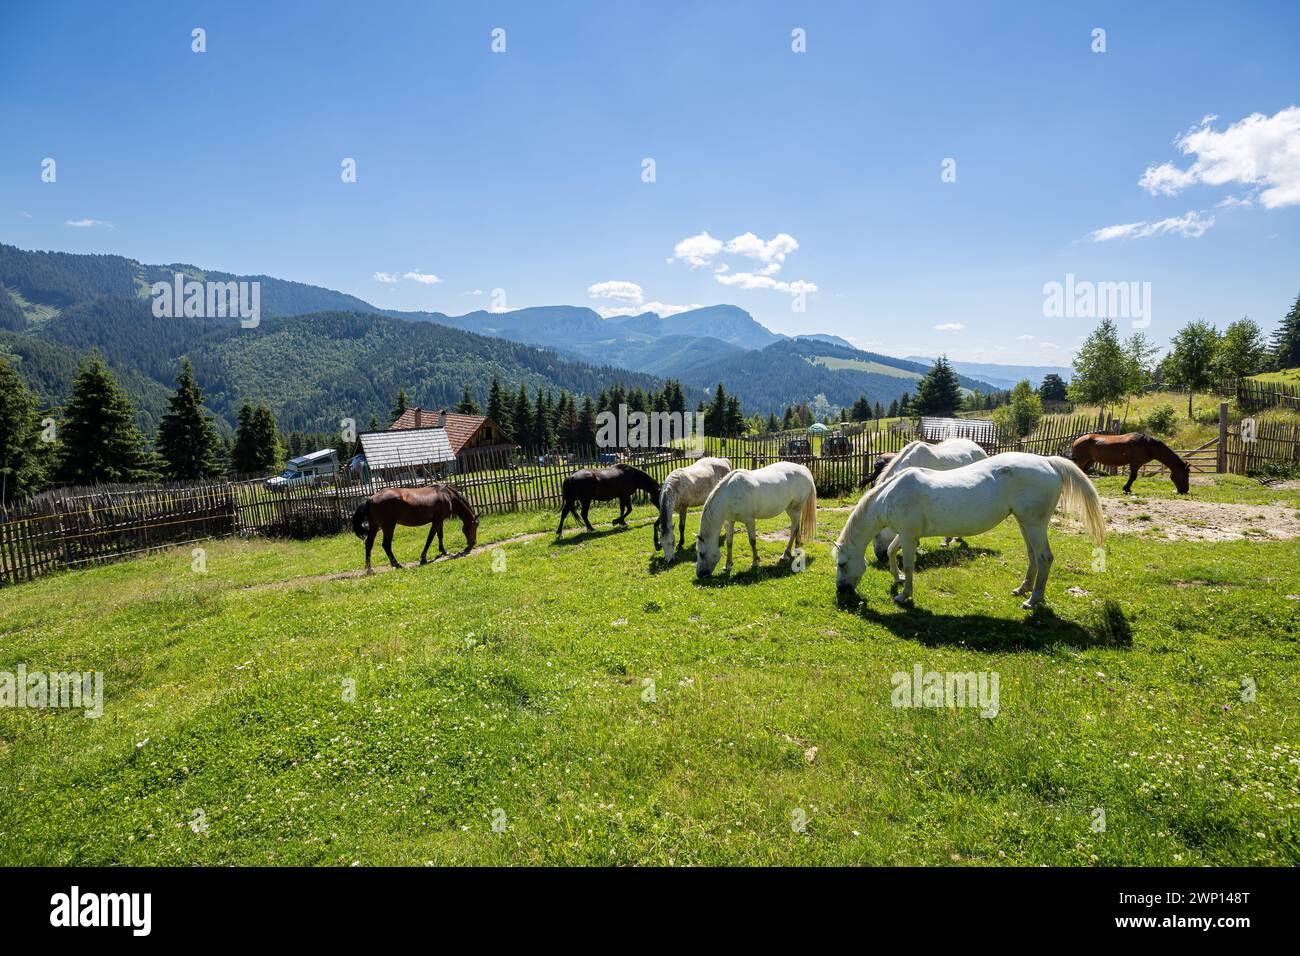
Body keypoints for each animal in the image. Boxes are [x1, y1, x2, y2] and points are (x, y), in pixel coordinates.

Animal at [834, 453, 1105, 609]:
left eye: (842, 564)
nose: (841, 590)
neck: (892, 494)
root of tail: (1048, 462)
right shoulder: (906, 533)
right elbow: (892, 550)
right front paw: (897, 577)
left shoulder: (909, 536)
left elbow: (909, 564)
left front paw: (904, 595)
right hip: (1025, 523)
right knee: (1033, 556)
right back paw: (1022, 589)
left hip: (1034, 524)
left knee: (1044, 558)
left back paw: (1033, 600)